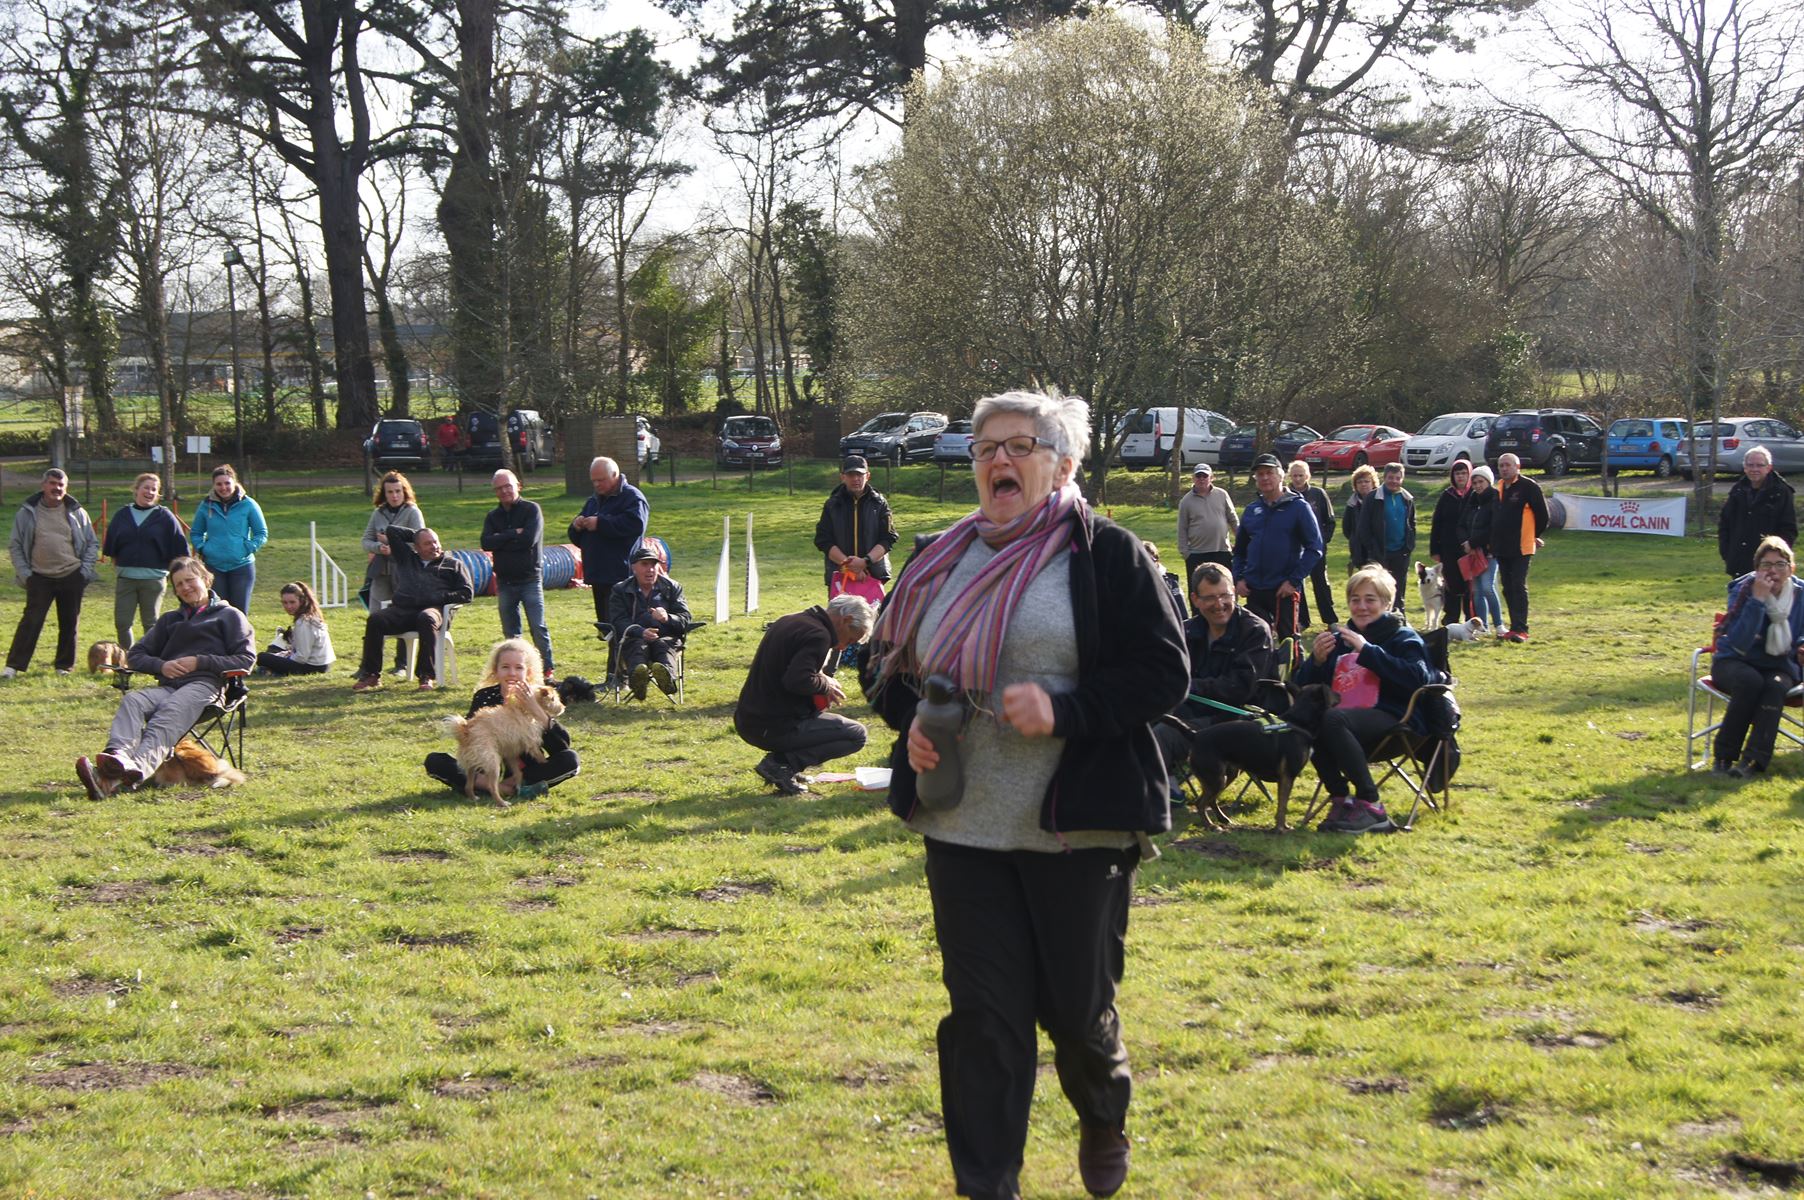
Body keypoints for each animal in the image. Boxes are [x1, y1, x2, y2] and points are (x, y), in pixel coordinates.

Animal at [1168, 689, 1342, 830]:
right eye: (1332, 691)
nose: (1340, 695)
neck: (1297, 722)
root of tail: (1195, 735)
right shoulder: (1287, 777)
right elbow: (1283, 806)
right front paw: (1280, 828)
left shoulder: (1285, 778)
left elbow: (1282, 804)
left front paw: (1282, 826)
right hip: (1216, 779)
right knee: (1200, 803)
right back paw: (1210, 826)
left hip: (1225, 776)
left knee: (1210, 800)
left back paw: (1222, 819)